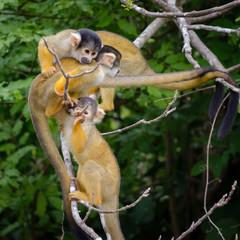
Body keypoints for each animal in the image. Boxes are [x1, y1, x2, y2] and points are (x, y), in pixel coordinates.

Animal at [62, 96, 124, 239]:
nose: (79, 116)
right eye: (77, 110)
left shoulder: (88, 130)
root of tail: (115, 194)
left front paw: (76, 123)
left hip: (107, 184)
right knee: (82, 165)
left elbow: (79, 147)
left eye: (85, 113)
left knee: (89, 165)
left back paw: (93, 199)